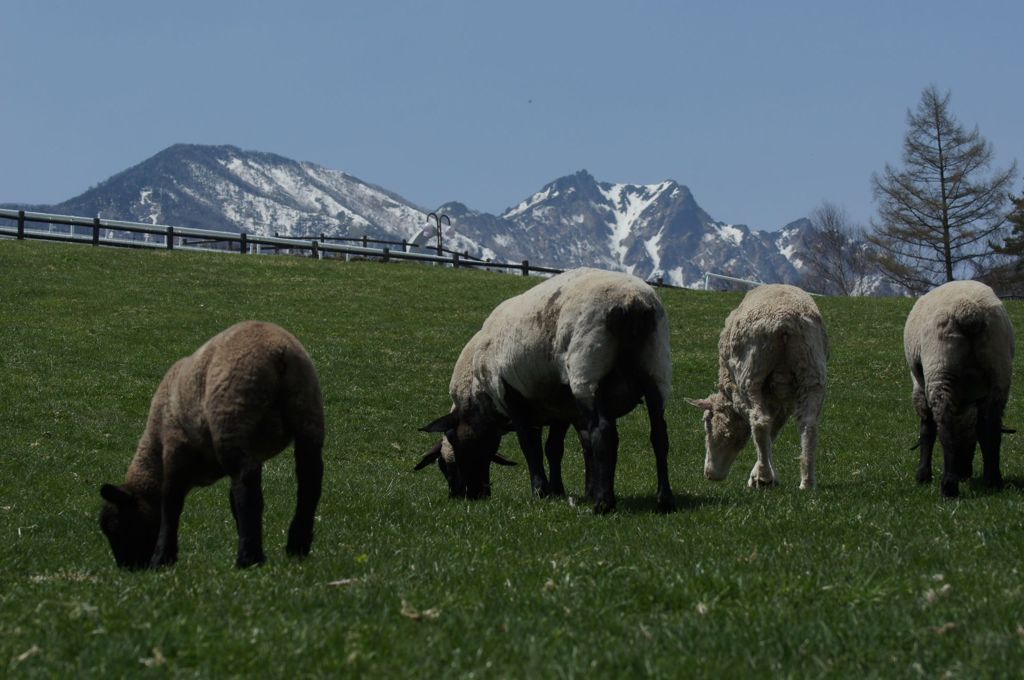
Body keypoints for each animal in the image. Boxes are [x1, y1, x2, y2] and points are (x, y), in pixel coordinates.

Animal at [98, 323, 323, 569]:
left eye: (116, 527)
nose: (128, 568)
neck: (155, 444)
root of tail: (279, 352)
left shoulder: (176, 449)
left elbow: (171, 502)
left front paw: (162, 558)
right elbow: (231, 501)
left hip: (232, 419)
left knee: (247, 489)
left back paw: (247, 558)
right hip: (307, 414)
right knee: (309, 481)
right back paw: (296, 546)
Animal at [411, 268, 675, 512]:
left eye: (447, 463)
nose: (469, 495)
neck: (478, 399)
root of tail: (633, 302)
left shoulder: (512, 397)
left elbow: (530, 446)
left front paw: (540, 490)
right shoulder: (560, 404)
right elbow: (553, 448)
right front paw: (557, 490)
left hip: (588, 369)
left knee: (604, 432)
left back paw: (603, 503)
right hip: (656, 367)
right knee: (659, 435)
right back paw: (664, 499)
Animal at [684, 284, 827, 489]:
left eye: (706, 422)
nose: (710, 475)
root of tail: (785, 323)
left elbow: (764, 430)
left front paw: (762, 476)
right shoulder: (784, 403)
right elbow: (773, 432)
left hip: (749, 375)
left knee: (759, 421)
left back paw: (764, 477)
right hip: (812, 371)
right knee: (808, 424)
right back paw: (807, 482)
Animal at [905, 278, 1015, 497]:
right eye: (971, 443)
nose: (965, 473)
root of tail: (969, 312)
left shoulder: (918, 385)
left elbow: (927, 428)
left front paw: (922, 475)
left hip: (939, 365)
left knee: (944, 421)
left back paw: (949, 486)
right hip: (998, 367)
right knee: (991, 424)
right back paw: (993, 480)